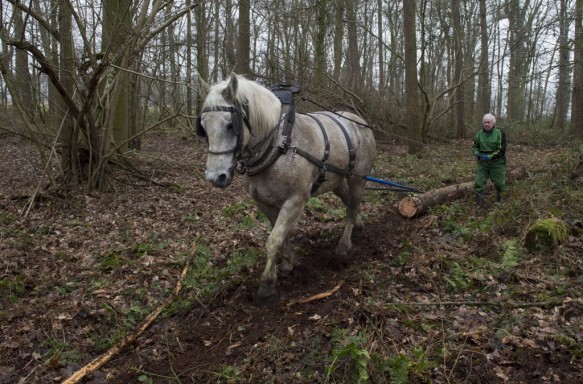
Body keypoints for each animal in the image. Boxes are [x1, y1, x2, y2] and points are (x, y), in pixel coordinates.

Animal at [197, 73, 378, 304]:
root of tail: (360, 121)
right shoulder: (264, 203)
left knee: (351, 208)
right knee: (349, 203)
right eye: (203, 127)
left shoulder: (296, 200)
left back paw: (344, 246)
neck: (278, 144)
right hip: (337, 180)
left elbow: (274, 239)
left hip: (357, 178)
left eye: (230, 125)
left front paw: (267, 285)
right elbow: (281, 236)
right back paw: (359, 227)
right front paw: (289, 263)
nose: (215, 177)